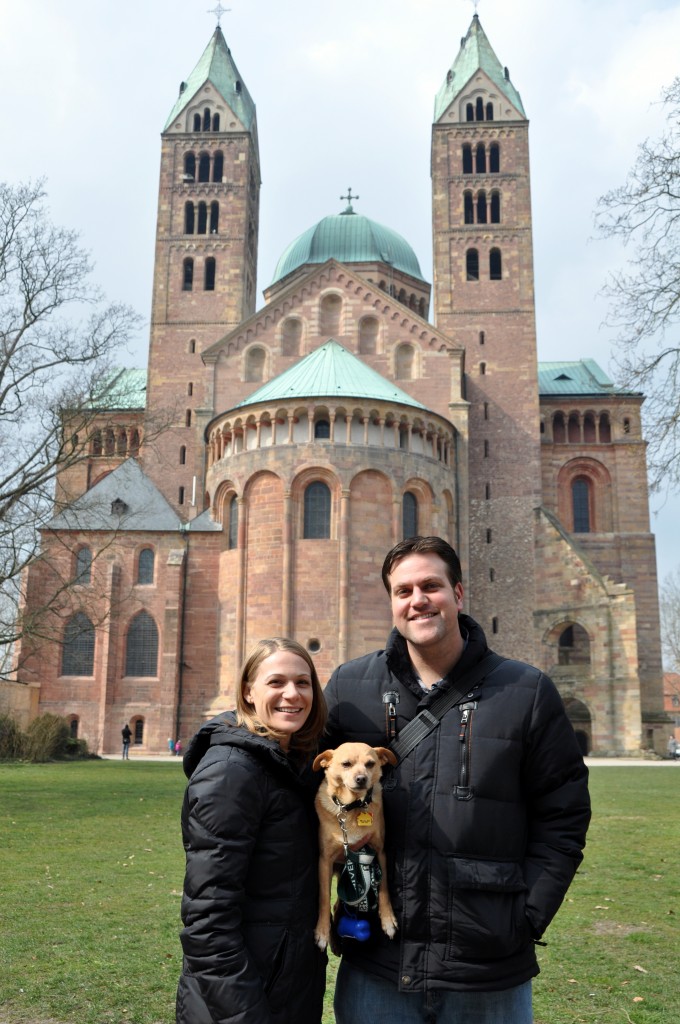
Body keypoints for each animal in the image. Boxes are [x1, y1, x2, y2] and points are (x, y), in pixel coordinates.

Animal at [313, 745, 399, 950]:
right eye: (346, 764)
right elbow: (324, 898)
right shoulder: (325, 861)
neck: (351, 807)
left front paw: (388, 919)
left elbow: (384, 888)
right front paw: (322, 932)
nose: (361, 778)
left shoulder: (379, 852)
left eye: (370, 764)